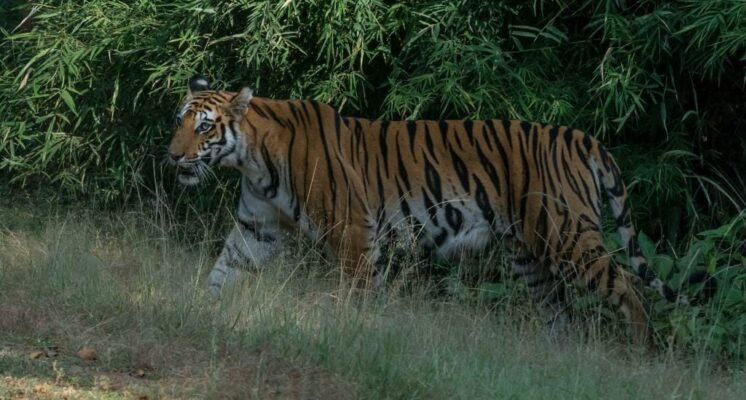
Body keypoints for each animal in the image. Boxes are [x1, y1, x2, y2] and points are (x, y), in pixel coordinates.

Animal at [167, 73, 696, 342]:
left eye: (204, 127)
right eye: (179, 121)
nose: (172, 156)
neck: (251, 159)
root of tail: (583, 136)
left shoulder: (352, 231)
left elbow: (357, 291)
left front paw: (353, 332)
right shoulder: (256, 228)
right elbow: (224, 270)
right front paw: (199, 313)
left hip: (569, 237)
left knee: (630, 289)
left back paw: (639, 353)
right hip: (531, 256)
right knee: (559, 314)